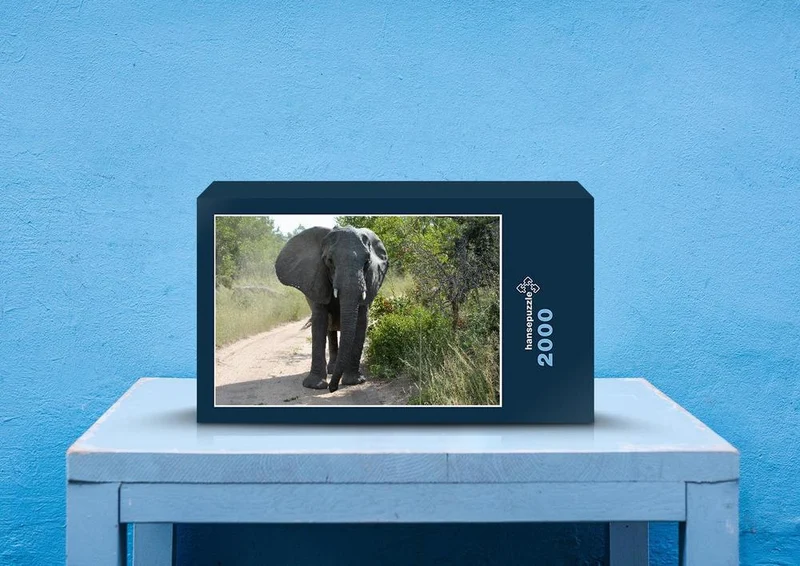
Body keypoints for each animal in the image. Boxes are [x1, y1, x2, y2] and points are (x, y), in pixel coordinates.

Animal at [275, 225, 389, 392]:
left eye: (367, 261)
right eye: (329, 261)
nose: (332, 388)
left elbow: (361, 321)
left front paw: (354, 381)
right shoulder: (316, 281)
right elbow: (320, 321)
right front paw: (315, 386)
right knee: (330, 329)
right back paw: (332, 370)